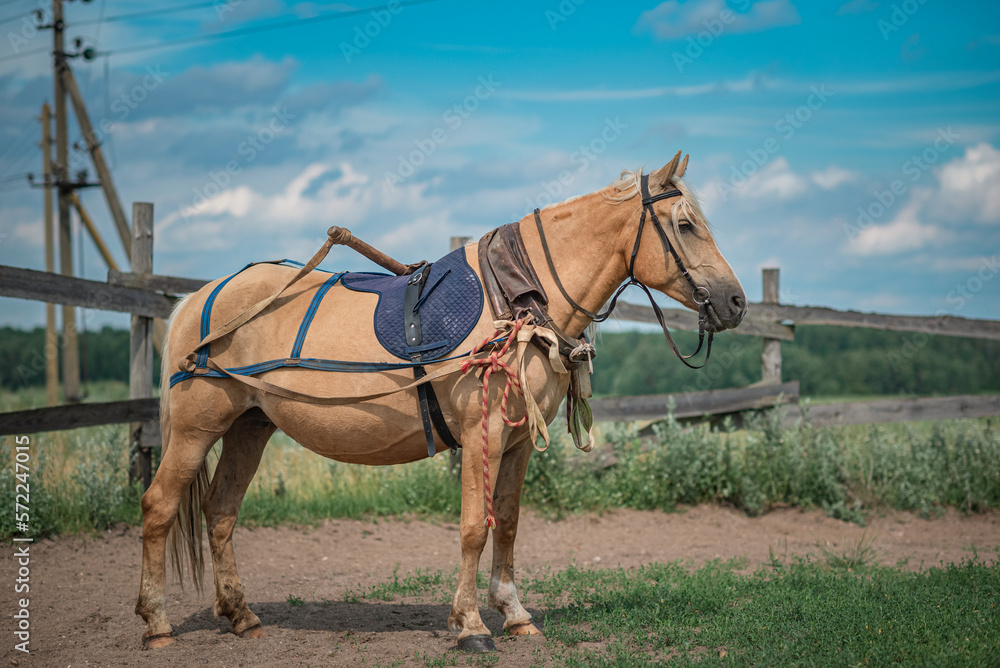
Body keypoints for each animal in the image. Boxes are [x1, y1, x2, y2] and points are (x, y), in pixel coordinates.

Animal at [137, 151, 748, 652]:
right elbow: (475, 525)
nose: (736, 302)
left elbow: (508, 522)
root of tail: (201, 296)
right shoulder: (483, 433)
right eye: (686, 225)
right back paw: (157, 622)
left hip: (249, 425)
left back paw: (241, 616)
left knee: (220, 512)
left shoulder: (518, 440)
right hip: (195, 430)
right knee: (159, 507)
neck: (516, 302)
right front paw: (471, 624)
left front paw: (514, 613)